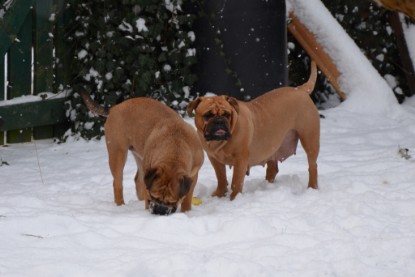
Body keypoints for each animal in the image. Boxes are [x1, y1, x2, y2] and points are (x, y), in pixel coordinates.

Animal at [187, 61, 320, 198]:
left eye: (227, 114)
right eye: (207, 115)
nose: (219, 121)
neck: (219, 142)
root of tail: (300, 89)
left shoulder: (240, 160)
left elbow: (236, 182)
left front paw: (234, 198)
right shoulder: (214, 159)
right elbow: (221, 178)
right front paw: (219, 194)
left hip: (310, 140)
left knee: (312, 166)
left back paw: (312, 187)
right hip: (272, 146)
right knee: (273, 168)